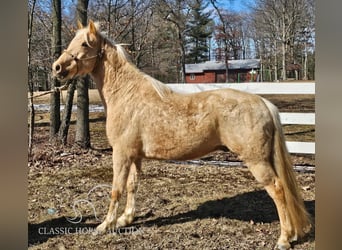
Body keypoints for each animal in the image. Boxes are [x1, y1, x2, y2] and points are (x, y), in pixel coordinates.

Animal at [52, 20, 310, 249]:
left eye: (85, 43)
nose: (57, 67)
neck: (127, 95)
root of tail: (263, 103)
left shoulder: (121, 154)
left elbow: (116, 189)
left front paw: (106, 225)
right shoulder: (135, 156)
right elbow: (133, 186)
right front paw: (126, 219)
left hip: (257, 161)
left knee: (278, 189)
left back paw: (284, 239)